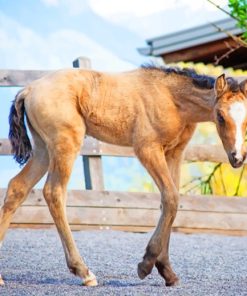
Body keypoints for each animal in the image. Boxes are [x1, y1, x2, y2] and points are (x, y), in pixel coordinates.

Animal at [0, 66, 247, 286]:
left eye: (246, 118)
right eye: (220, 116)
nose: (237, 157)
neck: (172, 98)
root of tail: (29, 89)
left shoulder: (174, 153)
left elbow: (169, 202)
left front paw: (167, 271)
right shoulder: (147, 149)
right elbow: (171, 198)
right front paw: (146, 265)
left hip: (43, 150)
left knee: (17, 188)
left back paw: (2, 278)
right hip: (65, 144)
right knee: (54, 193)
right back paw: (84, 272)